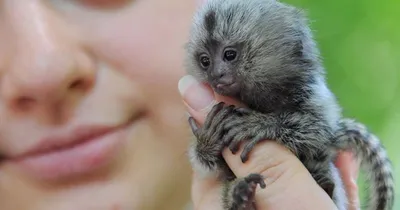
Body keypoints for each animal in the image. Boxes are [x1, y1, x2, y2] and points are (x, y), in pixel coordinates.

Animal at [184, 0, 394, 210]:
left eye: (229, 55)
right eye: (205, 61)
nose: (215, 75)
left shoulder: (313, 94)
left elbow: (318, 130)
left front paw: (261, 124)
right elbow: (215, 165)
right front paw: (208, 140)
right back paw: (241, 198)